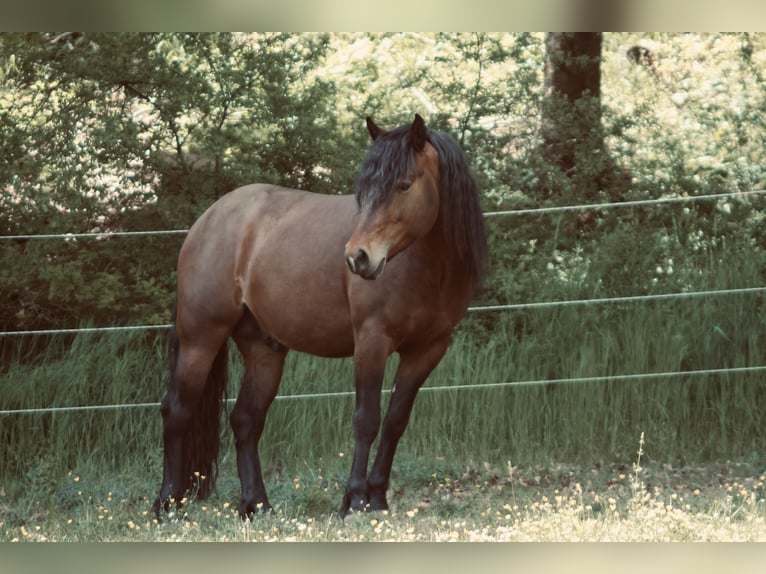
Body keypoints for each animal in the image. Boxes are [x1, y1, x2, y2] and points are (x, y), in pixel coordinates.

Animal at [153, 114, 488, 519]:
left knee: (246, 420)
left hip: (263, 349)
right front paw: (355, 499)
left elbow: (395, 422)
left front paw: (378, 498)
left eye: (404, 185)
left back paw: (257, 505)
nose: (358, 257)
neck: (424, 267)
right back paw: (167, 503)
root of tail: (207, 220)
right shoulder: (372, 342)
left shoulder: (427, 350)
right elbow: (366, 420)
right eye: (365, 188)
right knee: (177, 412)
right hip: (200, 338)